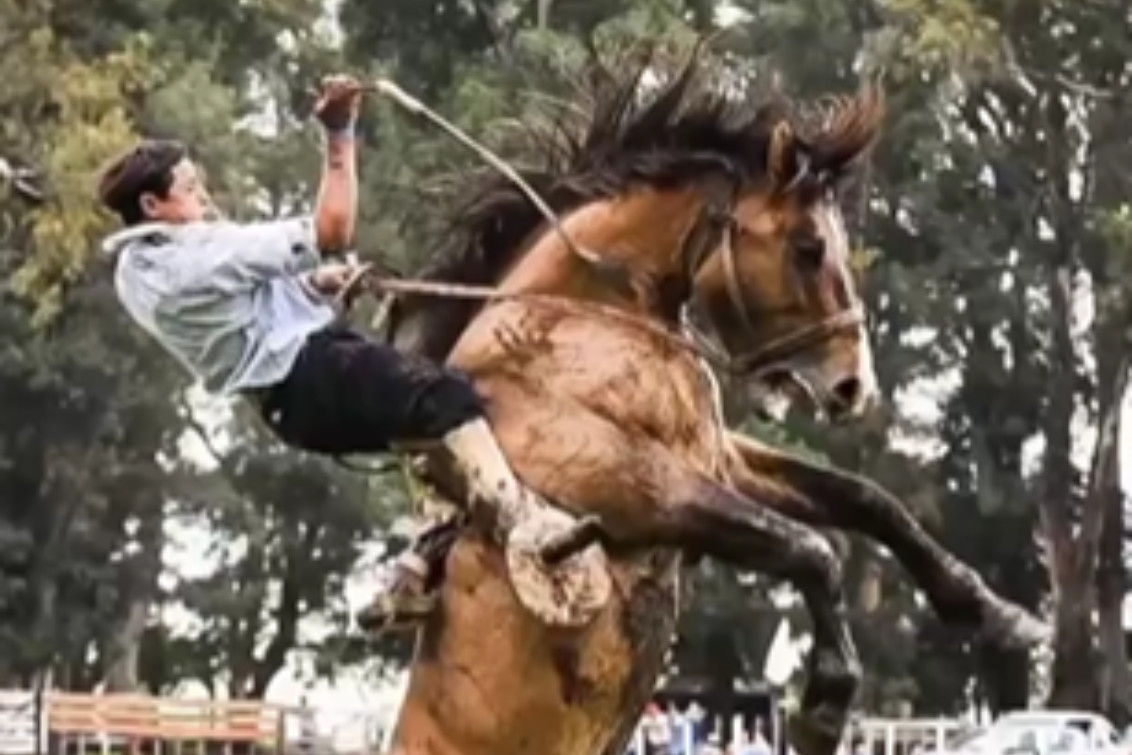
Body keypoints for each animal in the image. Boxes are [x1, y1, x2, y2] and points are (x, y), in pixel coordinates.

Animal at [350, 44, 1041, 755]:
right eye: (809, 248)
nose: (853, 386)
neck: (579, 326)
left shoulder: (717, 459)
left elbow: (866, 501)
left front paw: (995, 612)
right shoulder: (634, 487)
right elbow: (810, 549)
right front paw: (824, 703)